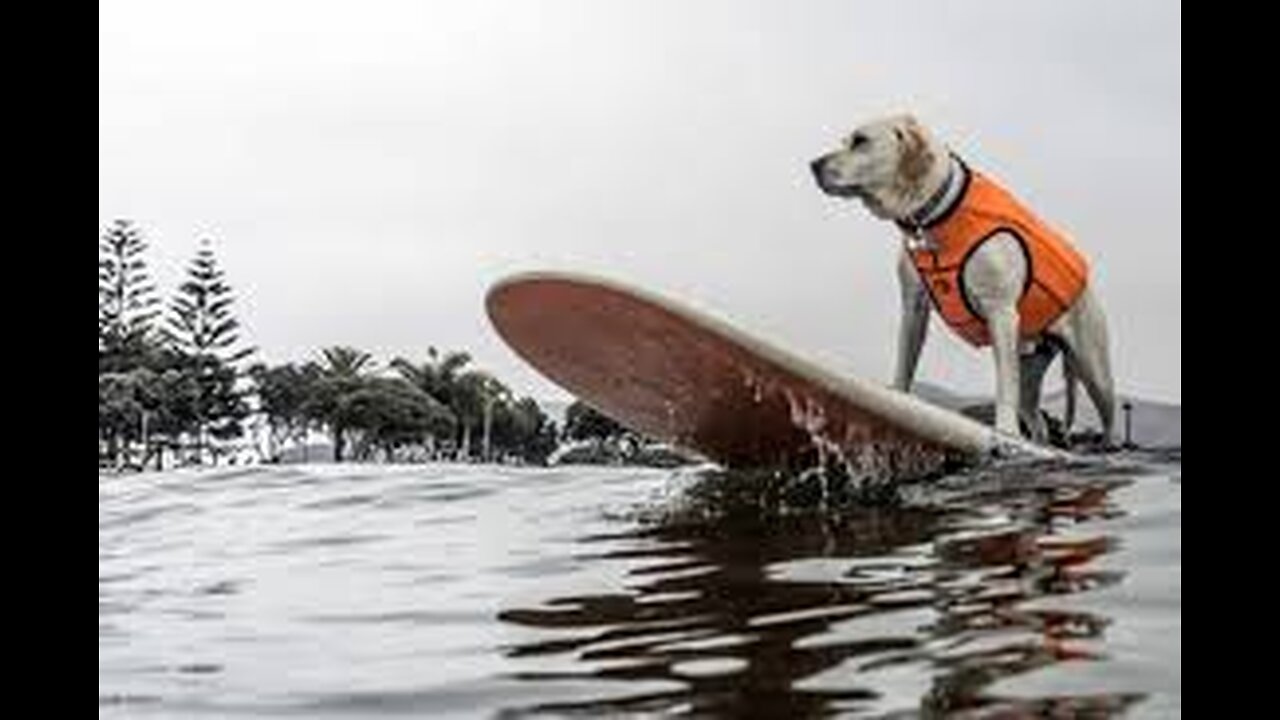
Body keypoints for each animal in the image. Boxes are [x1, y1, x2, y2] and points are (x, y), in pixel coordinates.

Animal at [814, 114, 1116, 440]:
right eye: (845, 141)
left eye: (860, 141)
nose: (813, 164)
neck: (936, 214)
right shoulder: (914, 306)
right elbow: (905, 363)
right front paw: (897, 400)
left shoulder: (1001, 312)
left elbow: (1004, 388)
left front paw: (1005, 431)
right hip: (1030, 366)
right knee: (1037, 421)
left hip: (1095, 370)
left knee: (1106, 419)